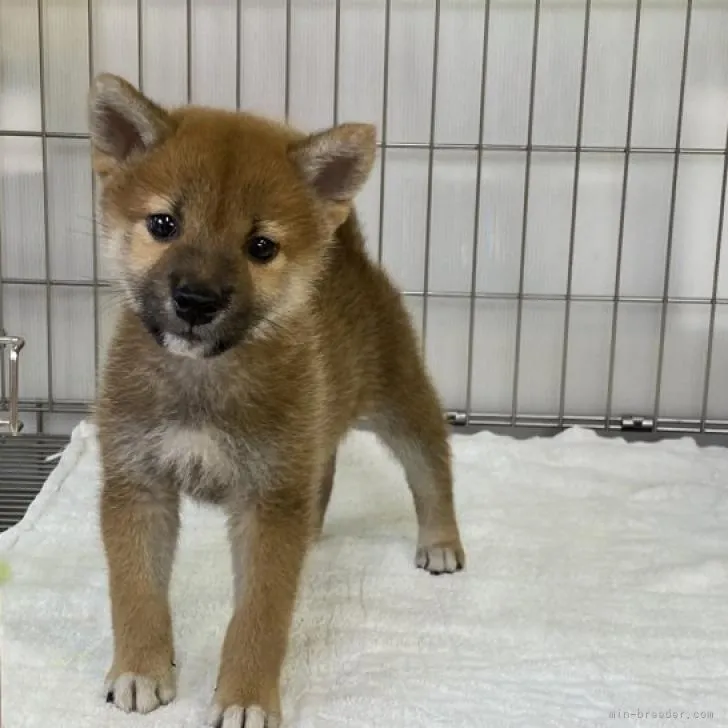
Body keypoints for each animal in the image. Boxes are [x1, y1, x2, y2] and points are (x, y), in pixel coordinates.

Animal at [89, 69, 466, 728]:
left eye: (261, 246)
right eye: (163, 225)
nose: (197, 298)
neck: (203, 382)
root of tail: (351, 257)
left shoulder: (267, 502)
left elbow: (259, 618)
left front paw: (244, 695)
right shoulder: (138, 484)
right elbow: (136, 592)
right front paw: (140, 667)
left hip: (398, 399)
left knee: (431, 467)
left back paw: (441, 541)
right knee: (326, 467)